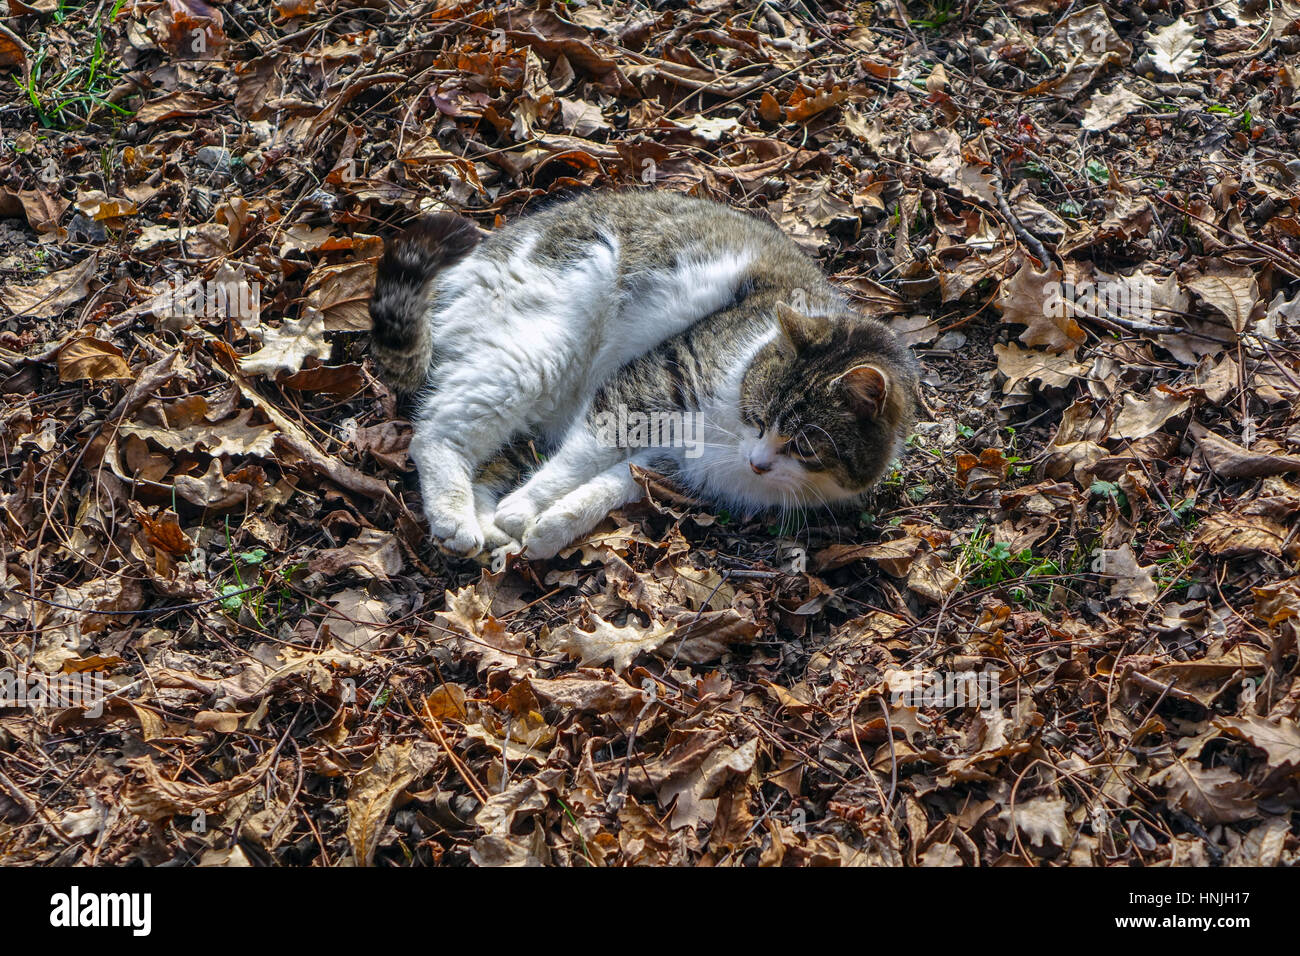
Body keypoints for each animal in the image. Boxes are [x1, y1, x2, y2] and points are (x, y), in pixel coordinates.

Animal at [366, 191, 920, 564]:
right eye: (757, 416)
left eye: (804, 446)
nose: (758, 463)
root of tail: (473, 261)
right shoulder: (648, 384)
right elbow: (579, 460)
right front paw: (523, 511)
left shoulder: (671, 461)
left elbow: (613, 485)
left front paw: (549, 528)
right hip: (537, 354)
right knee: (436, 434)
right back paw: (457, 520)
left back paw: (489, 530)